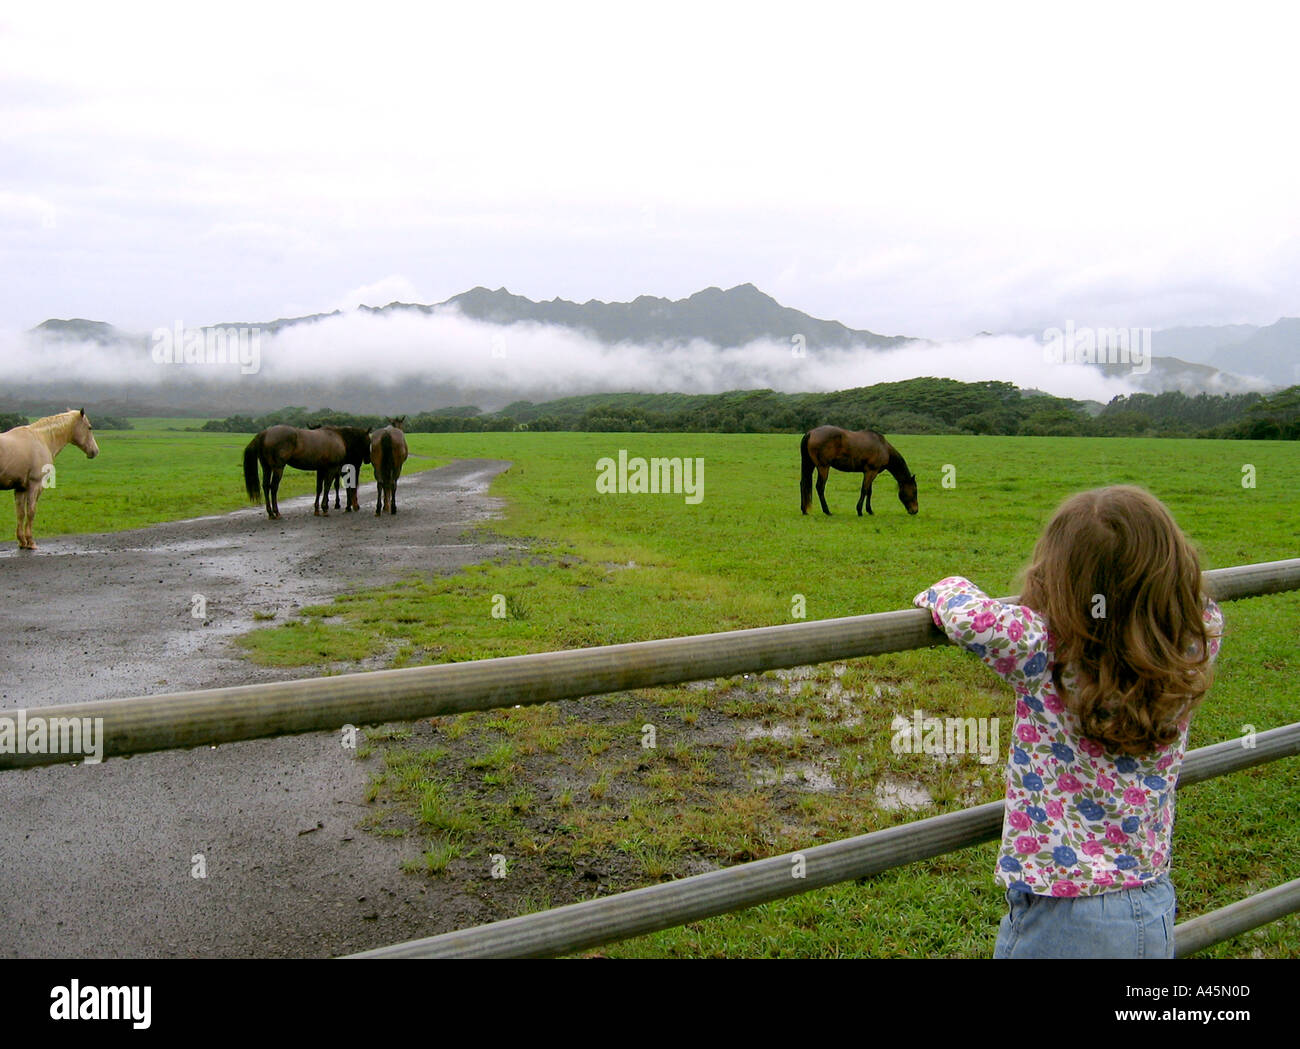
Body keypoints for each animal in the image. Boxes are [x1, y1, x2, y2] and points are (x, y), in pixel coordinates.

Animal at [0, 408, 100, 548]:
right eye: (89, 427)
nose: (95, 451)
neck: (41, 438)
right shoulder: (35, 485)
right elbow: (31, 512)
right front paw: (30, 542)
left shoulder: (20, 488)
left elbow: (20, 513)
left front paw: (22, 541)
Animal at [243, 423, 371, 519]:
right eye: (368, 441)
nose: (367, 460)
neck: (338, 437)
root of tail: (264, 433)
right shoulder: (331, 469)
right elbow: (327, 487)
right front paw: (325, 508)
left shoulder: (321, 469)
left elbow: (319, 488)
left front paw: (317, 509)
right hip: (278, 468)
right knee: (273, 487)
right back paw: (276, 512)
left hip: (267, 468)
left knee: (265, 486)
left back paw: (270, 513)